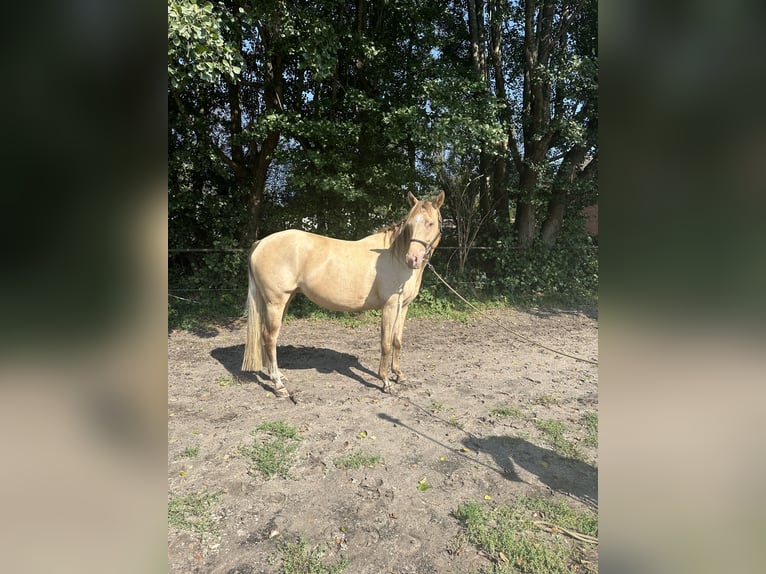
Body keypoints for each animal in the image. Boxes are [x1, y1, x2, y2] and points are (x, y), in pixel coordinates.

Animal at [243, 191, 448, 398]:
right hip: (275, 303)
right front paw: (386, 382)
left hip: (283, 301)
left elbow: (397, 341)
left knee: (268, 337)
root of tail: (260, 243)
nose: (412, 259)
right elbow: (386, 344)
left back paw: (278, 376)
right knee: (269, 338)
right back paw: (279, 386)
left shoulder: (403, 307)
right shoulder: (389, 307)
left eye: (430, 223)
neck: (394, 256)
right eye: (410, 225)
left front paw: (399, 375)